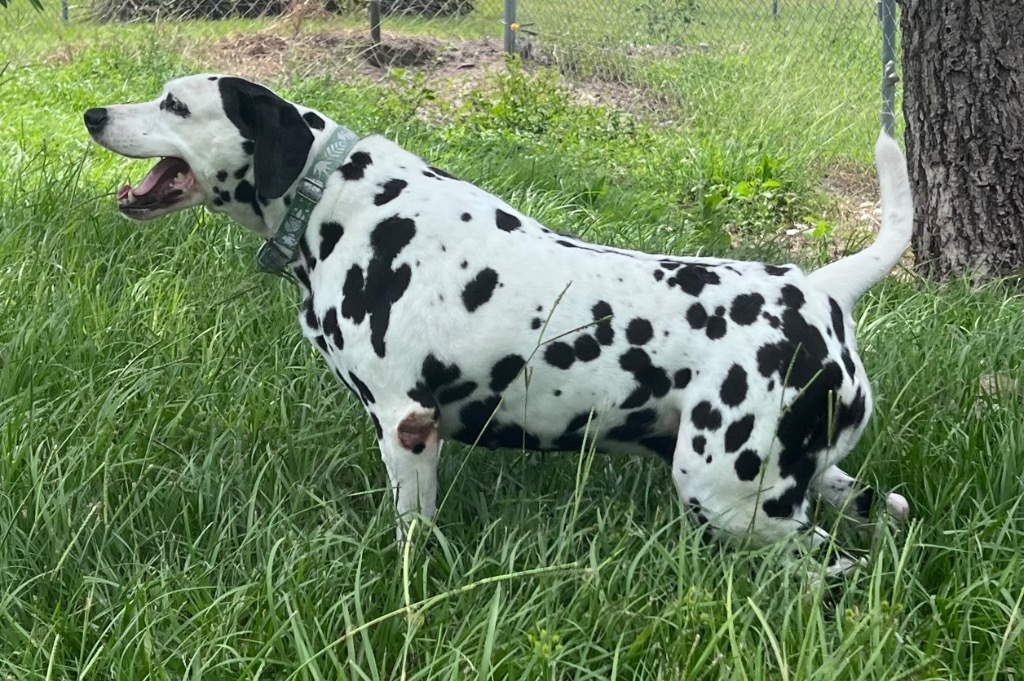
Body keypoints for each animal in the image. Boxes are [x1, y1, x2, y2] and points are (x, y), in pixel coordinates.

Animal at [81, 74, 913, 573]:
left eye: (175, 104)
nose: (92, 113)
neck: (340, 203)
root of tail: (820, 288)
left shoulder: (406, 426)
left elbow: (412, 536)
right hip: (801, 479)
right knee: (884, 510)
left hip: (736, 500)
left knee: (834, 570)